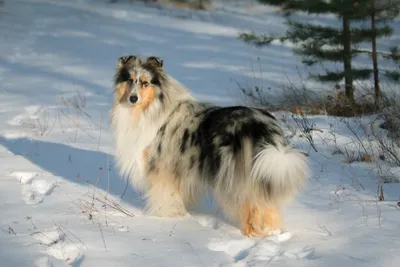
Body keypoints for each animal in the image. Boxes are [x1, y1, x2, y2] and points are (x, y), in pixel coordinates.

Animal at [109, 55, 310, 238]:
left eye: (145, 82)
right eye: (129, 80)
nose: (133, 98)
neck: (149, 109)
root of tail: (262, 126)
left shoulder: (162, 169)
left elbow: (165, 197)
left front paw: (165, 218)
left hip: (237, 178)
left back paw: (250, 234)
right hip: (264, 170)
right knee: (268, 207)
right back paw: (271, 233)